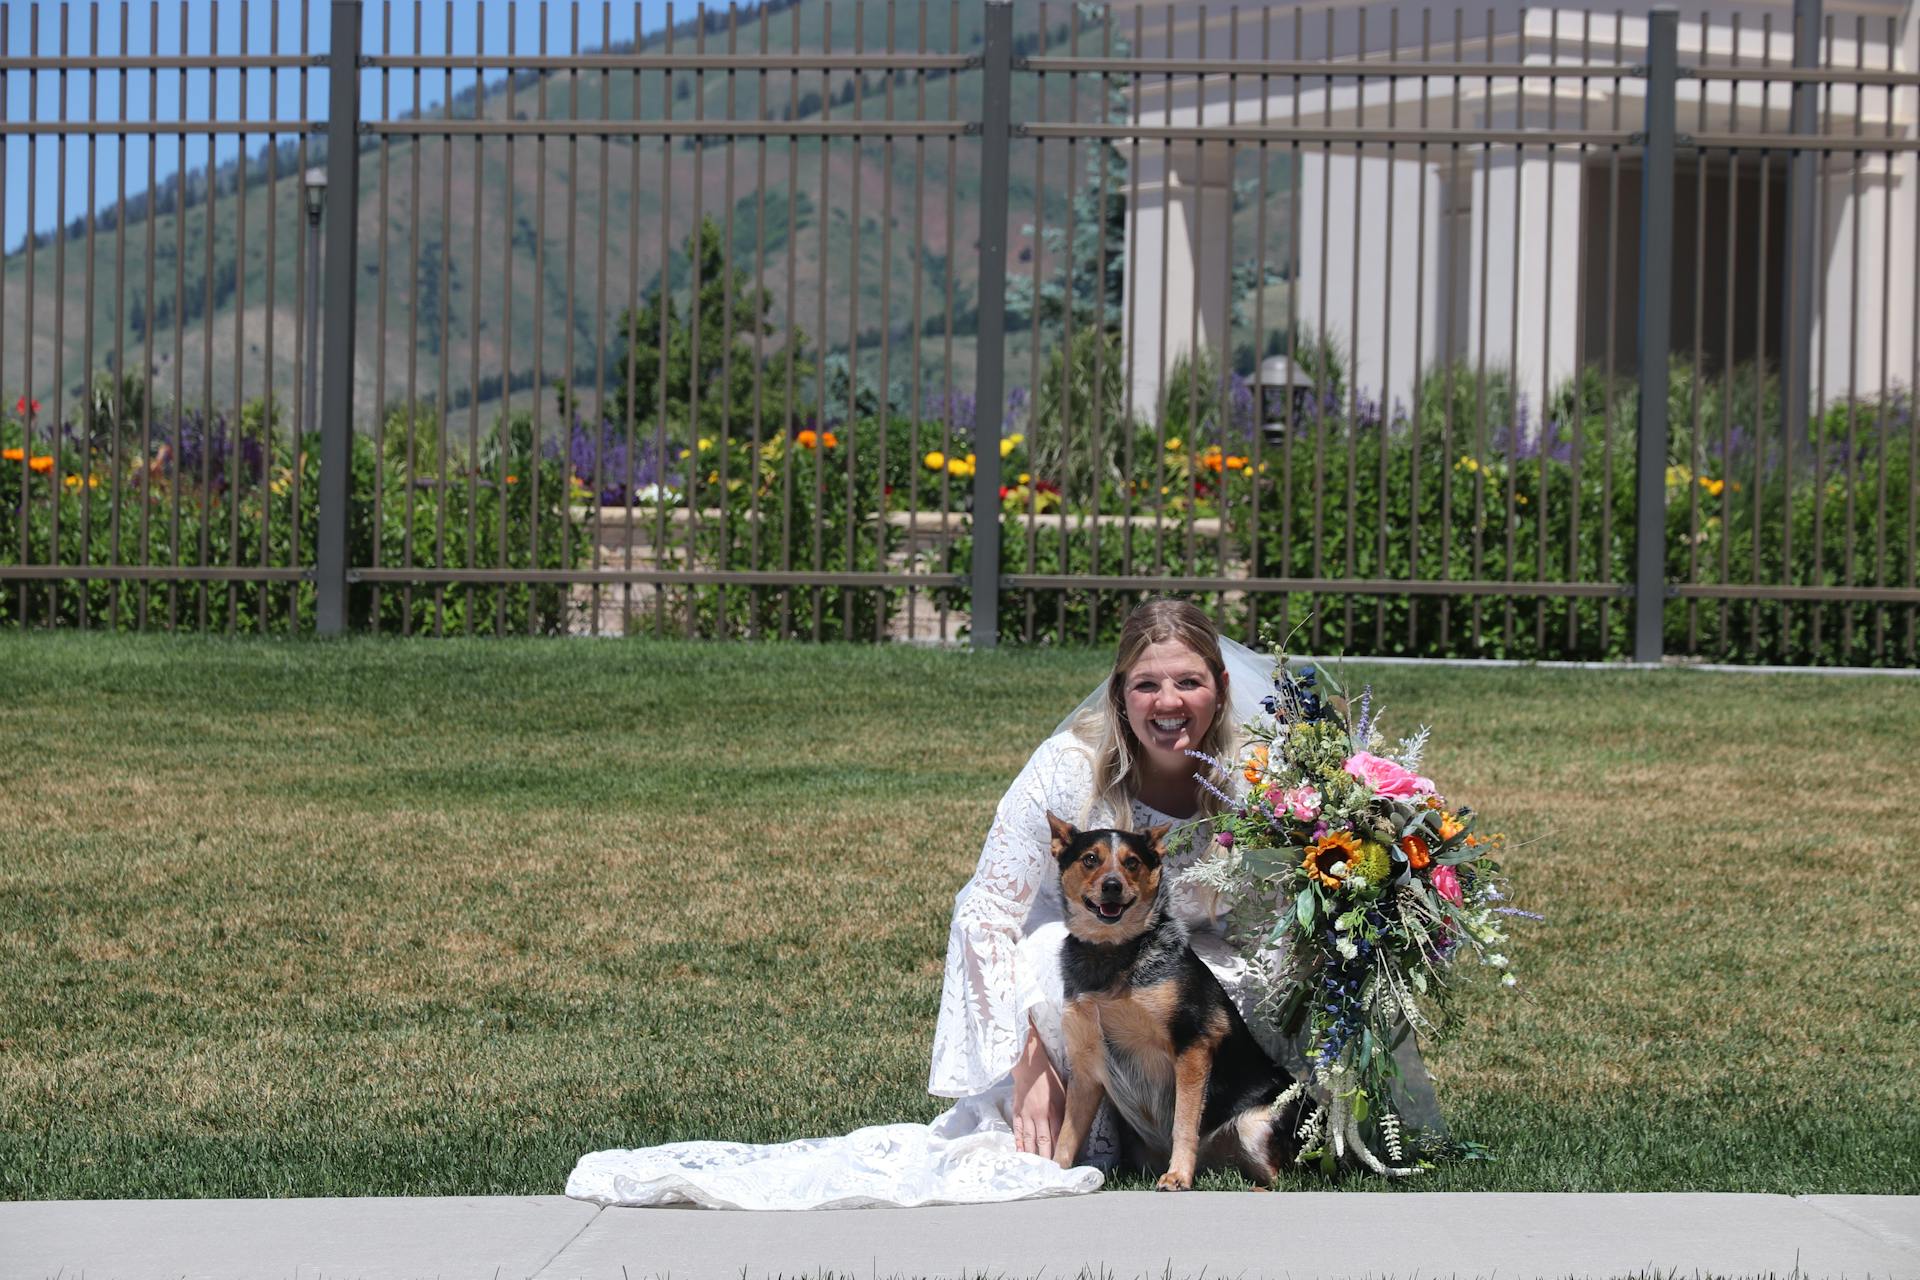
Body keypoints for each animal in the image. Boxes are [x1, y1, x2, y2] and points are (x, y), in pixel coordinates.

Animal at [1044, 817, 1313, 1189]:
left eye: (1132, 862)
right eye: (1089, 859)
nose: (1112, 886)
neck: (1113, 953)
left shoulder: (1192, 1043)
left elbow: (1184, 1123)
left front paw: (1177, 1176)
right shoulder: (1085, 1065)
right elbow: (1068, 1135)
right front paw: (1051, 1176)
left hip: (1254, 1124)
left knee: (1285, 1180)